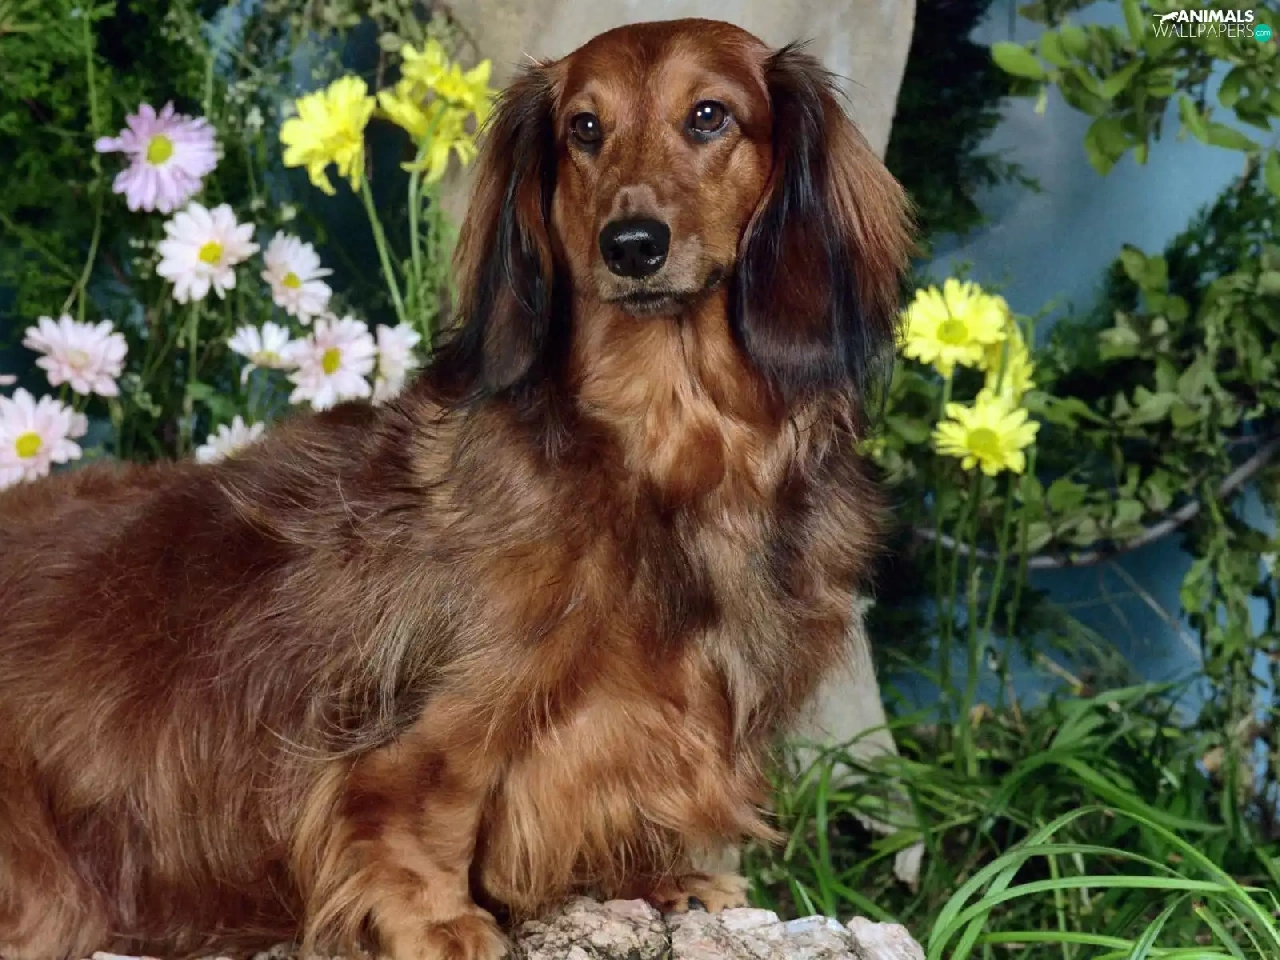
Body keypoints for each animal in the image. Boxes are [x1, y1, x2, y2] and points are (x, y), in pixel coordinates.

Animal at [0, 18, 910, 960]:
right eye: (584, 128)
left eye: (709, 115)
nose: (632, 246)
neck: (659, 454)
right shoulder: (440, 719)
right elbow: (422, 807)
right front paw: (446, 924)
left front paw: (663, 876)